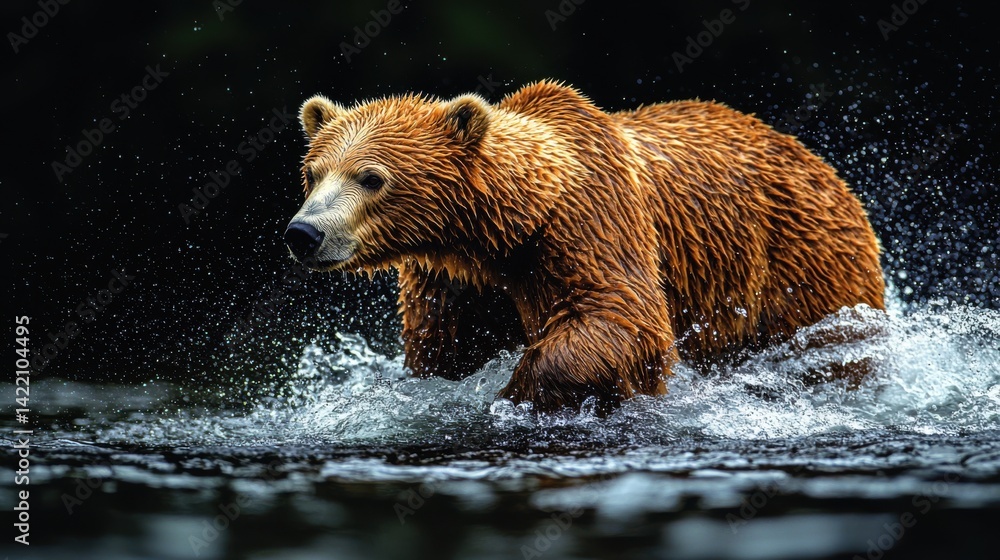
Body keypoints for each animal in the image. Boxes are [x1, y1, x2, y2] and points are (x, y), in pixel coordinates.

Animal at [284, 80, 885, 413]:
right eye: (312, 172)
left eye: (371, 177)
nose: (304, 233)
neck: (502, 233)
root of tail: (817, 160)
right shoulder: (455, 280)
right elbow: (443, 353)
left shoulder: (591, 225)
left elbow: (622, 316)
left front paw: (514, 395)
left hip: (803, 257)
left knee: (827, 345)